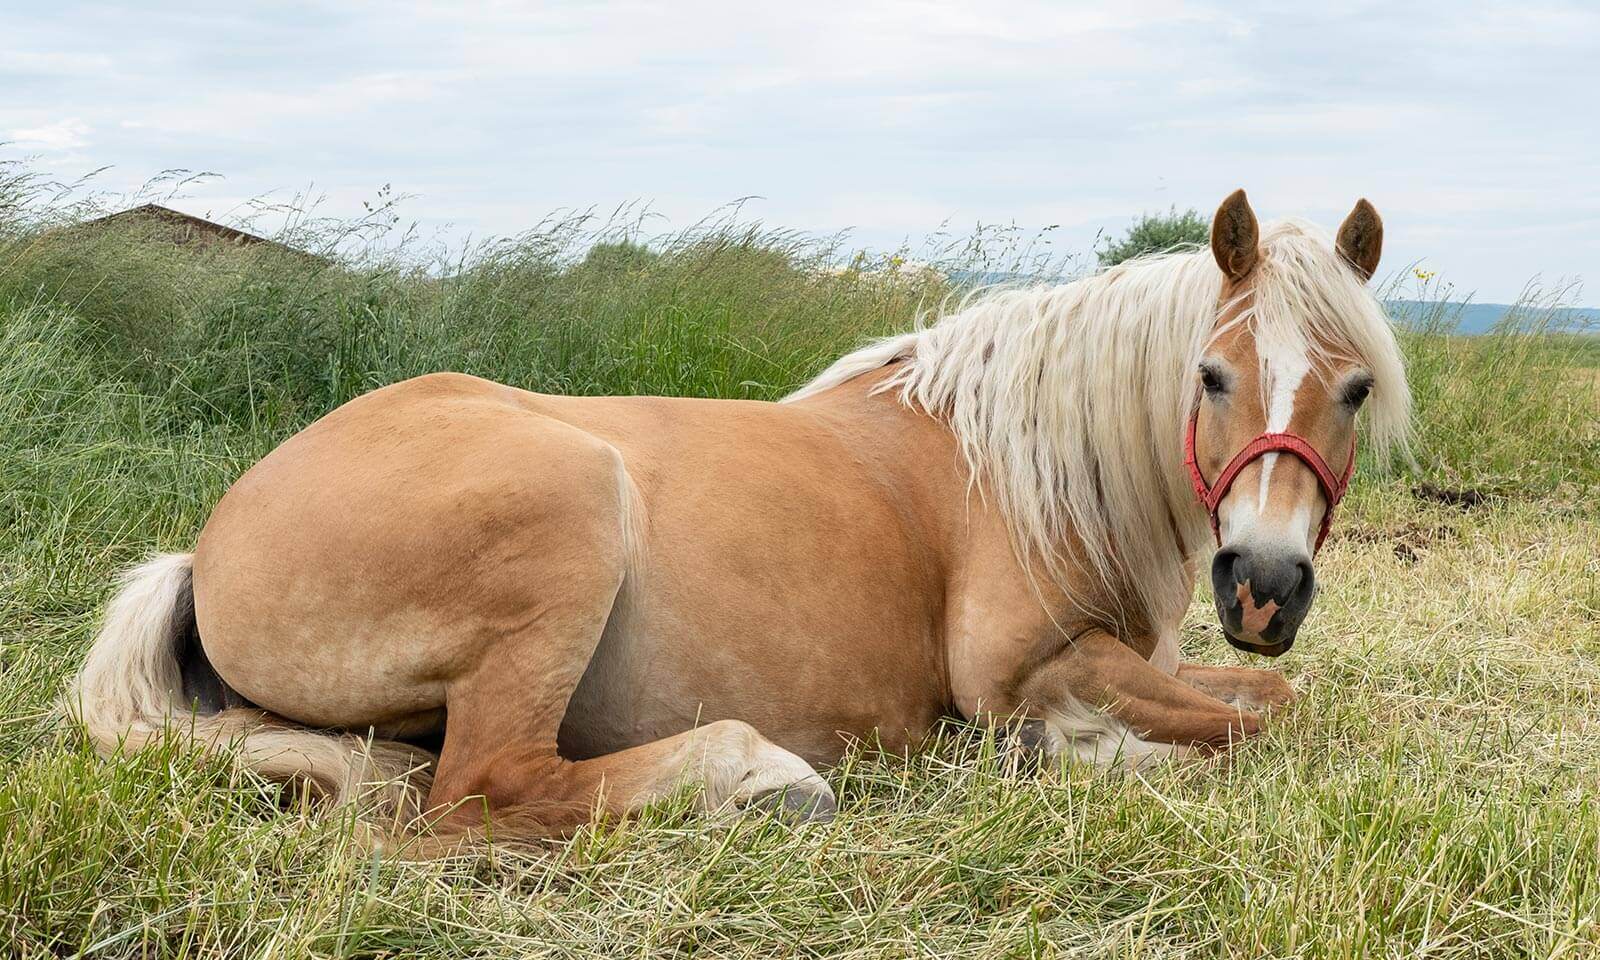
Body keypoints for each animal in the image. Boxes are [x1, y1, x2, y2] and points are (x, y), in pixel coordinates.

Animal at [68, 191, 1408, 844]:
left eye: (1354, 390)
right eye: (1211, 376)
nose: (1263, 588)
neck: (1021, 465)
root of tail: (209, 545)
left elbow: (1266, 696)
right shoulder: (1023, 667)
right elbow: (1257, 718)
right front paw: (1076, 751)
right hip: (568, 516)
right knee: (487, 787)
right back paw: (755, 778)